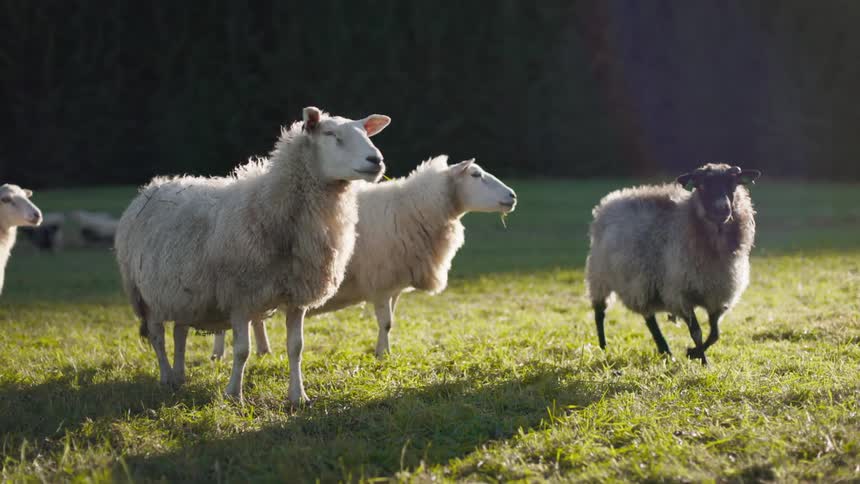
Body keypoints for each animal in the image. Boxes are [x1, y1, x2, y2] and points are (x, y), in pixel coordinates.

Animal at [115, 106, 391, 404]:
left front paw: (298, 396)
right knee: (158, 337)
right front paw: (234, 394)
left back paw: (179, 376)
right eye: (331, 134)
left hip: (183, 294)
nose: (376, 160)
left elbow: (296, 347)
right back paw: (167, 376)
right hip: (145, 294)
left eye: (366, 133)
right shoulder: (240, 297)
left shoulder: (296, 297)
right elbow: (242, 351)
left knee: (180, 333)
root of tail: (153, 186)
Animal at [212, 155, 517, 360]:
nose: (513, 196)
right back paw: (219, 354)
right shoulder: (381, 280)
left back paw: (264, 350)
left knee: (256, 318)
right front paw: (382, 355)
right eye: (475, 175)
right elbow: (386, 322)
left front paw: (386, 351)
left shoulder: (395, 283)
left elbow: (390, 322)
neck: (415, 208)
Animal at [585, 163, 761, 365]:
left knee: (649, 318)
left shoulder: (718, 295)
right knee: (600, 312)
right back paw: (603, 346)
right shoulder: (680, 294)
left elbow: (715, 334)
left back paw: (665, 350)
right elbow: (697, 332)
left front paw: (693, 353)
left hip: (642, 284)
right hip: (599, 276)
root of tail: (609, 201)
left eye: (733, 183)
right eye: (701, 186)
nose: (722, 209)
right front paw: (702, 360)